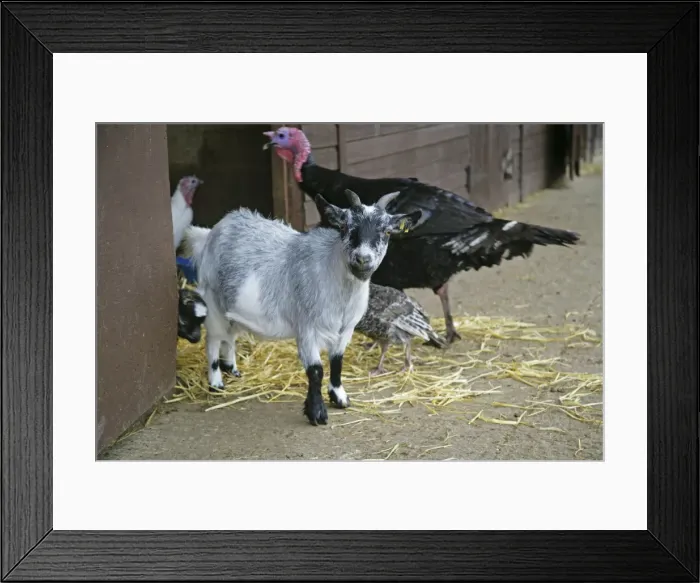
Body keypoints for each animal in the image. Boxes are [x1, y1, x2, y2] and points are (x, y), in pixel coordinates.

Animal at [182, 189, 422, 426]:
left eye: (387, 232)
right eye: (344, 227)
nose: (363, 259)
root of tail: (210, 234)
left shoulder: (345, 330)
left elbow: (337, 362)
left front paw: (340, 398)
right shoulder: (306, 328)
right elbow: (316, 370)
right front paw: (317, 413)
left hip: (231, 307)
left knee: (229, 337)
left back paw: (232, 369)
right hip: (212, 300)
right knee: (213, 340)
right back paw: (216, 382)